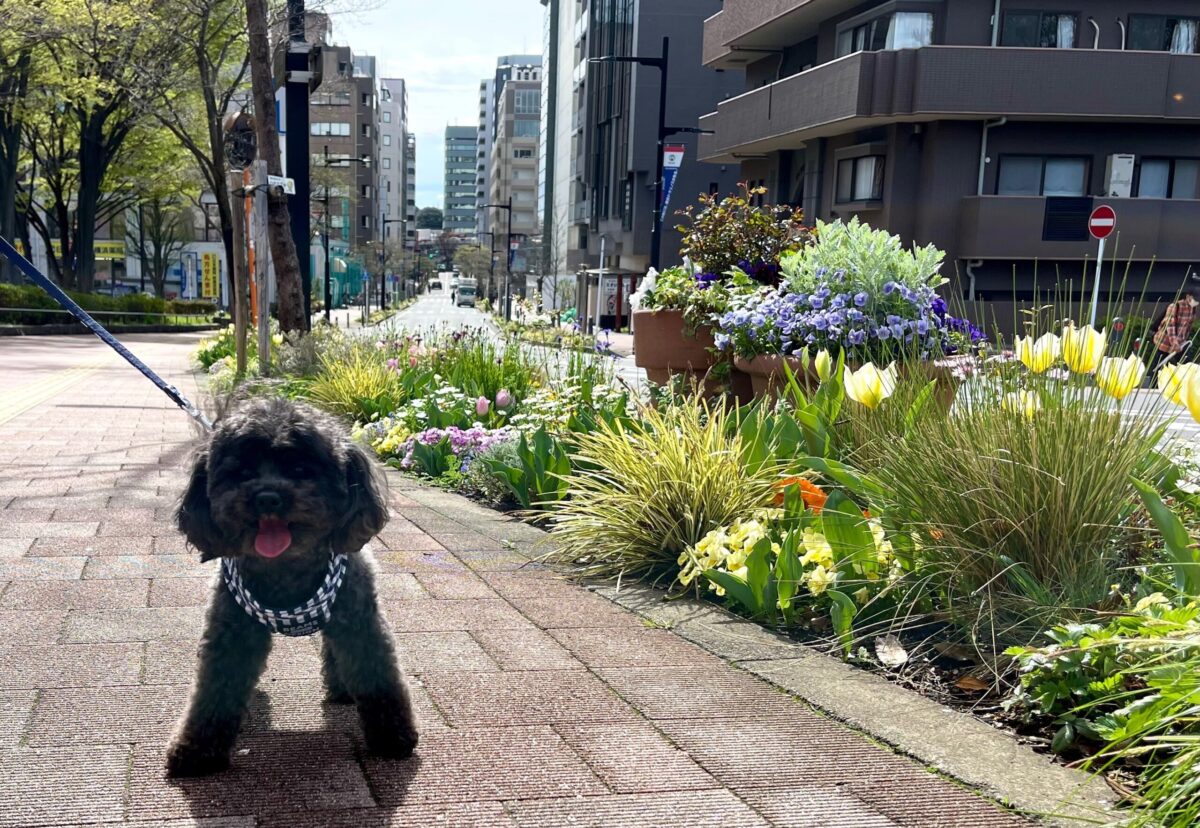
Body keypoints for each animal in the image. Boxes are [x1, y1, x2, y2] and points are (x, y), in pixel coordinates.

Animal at [164, 393, 417, 772]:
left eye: (300, 470)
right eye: (242, 473)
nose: (267, 497)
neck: (286, 567)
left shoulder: (361, 623)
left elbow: (378, 677)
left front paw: (393, 738)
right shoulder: (231, 632)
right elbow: (215, 689)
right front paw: (196, 752)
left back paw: (343, 690)